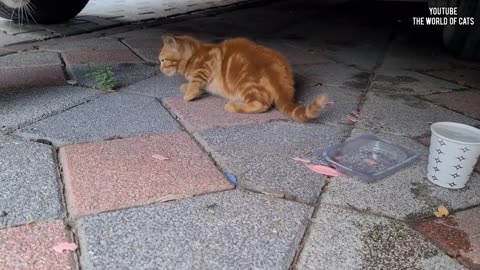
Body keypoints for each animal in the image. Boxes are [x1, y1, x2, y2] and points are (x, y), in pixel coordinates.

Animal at [159, 34, 328, 122]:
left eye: (163, 60)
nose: (160, 68)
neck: (194, 54)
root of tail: (279, 70)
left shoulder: (206, 65)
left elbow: (195, 81)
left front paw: (189, 93)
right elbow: (197, 85)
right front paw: (187, 87)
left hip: (246, 84)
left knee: (262, 104)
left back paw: (233, 105)